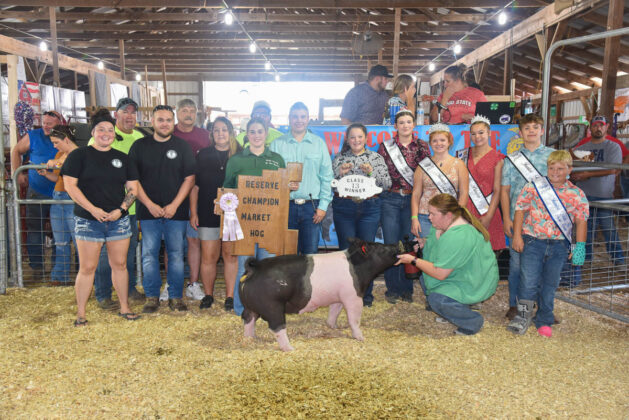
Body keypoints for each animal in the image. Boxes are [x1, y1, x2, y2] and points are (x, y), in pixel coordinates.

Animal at [239, 238, 416, 351]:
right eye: (380, 247)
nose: (399, 245)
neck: (358, 267)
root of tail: (253, 268)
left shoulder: (338, 296)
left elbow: (334, 311)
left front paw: (333, 326)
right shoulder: (353, 296)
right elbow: (354, 319)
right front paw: (361, 338)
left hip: (250, 306)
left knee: (248, 319)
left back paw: (250, 339)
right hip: (273, 306)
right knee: (277, 327)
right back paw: (290, 348)